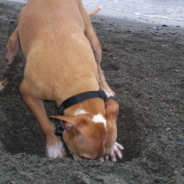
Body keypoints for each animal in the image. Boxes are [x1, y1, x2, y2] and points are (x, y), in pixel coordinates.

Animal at [0, 0, 123, 161]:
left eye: (105, 154)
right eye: (85, 158)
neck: (75, 80)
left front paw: (114, 147)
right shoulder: (26, 92)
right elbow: (44, 122)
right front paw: (54, 145)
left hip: (93, 40)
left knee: (99, 67)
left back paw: (106, 89)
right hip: (12, 44)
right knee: (9, 60)